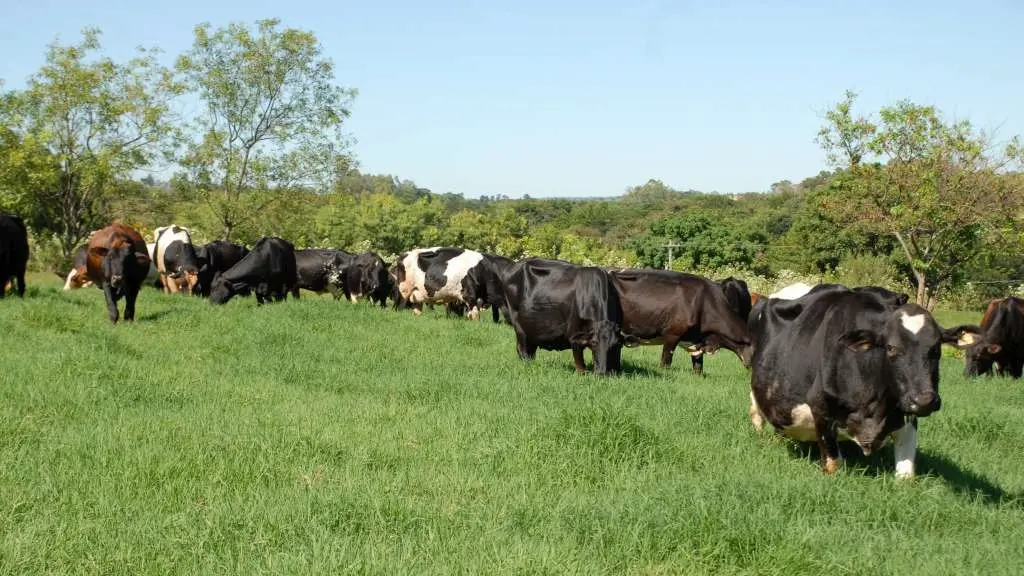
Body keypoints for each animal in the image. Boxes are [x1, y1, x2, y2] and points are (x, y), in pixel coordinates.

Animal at [749, 282, 978, 475]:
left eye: (936, 347)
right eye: (891, 348)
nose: (924, 400)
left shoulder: (907, 415)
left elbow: (906, 473)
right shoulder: (820, 408)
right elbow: (833, 464)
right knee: (756, 414)